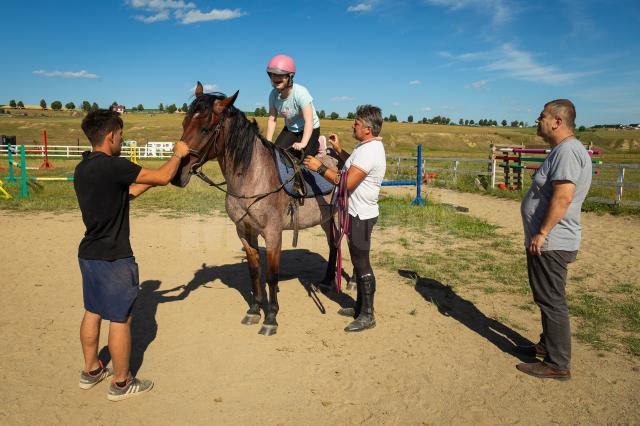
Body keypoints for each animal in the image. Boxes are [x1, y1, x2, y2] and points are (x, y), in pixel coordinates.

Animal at [172, 82, 338, 336]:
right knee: (332, 245)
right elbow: (254, 271)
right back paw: (327, 281)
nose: (177, 175)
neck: (254, 177)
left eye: (206, 129)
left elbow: (271, 275)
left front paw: (271, 317)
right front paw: (254, 310)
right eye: (184, 123)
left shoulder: (273, 234)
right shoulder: (244, 231)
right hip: (326, 220)